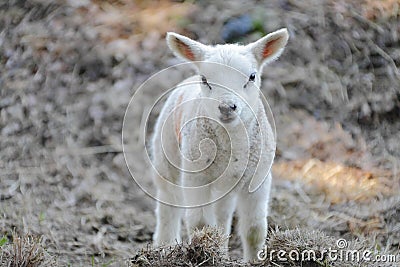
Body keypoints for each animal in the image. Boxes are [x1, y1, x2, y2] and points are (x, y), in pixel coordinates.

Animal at [152, 28, 290, 262]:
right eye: (205, 79)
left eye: (252, 76)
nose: (226, 107)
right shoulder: (196, 178)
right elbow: (200, 224)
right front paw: (204, 250)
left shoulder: (258, 179)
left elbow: (254, 229)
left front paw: (253, 261)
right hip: (167, 158)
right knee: (168, 206)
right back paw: (163, 247)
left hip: (226, 186)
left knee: (223, 215)